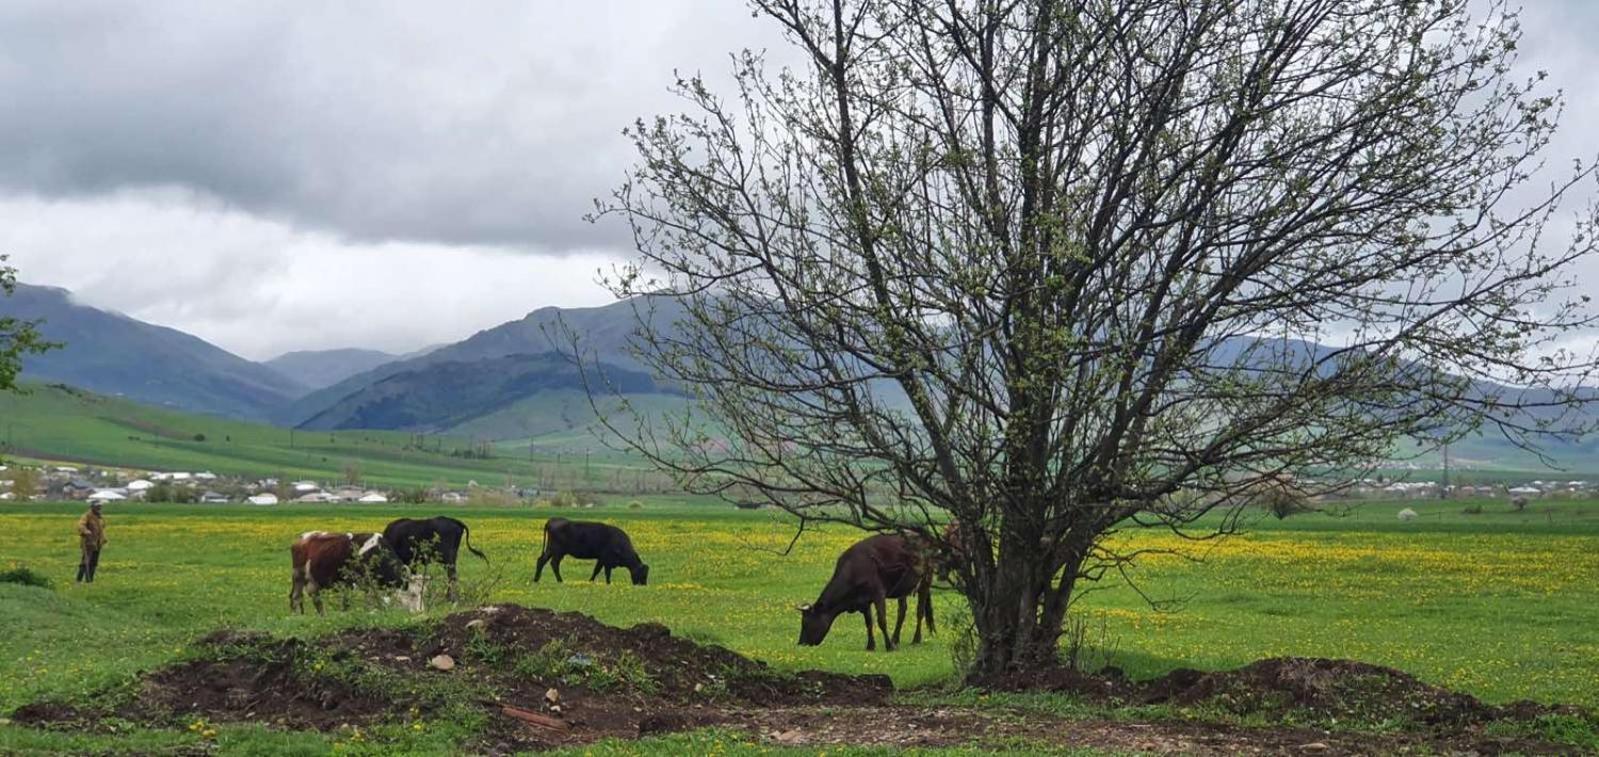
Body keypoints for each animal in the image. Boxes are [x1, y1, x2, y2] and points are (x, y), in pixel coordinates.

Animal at [287, 531, 425, 614]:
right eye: (413, 594)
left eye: (422, 593)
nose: (420, 612)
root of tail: (303, 537)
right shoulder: (350, 582)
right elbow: (348, 603)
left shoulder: (371, 586)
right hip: (298, 575)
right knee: (295, 597)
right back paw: (296, 616)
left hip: (313, 581)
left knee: (316, 599)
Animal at [799, 531, 933, 649]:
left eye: (805, 623)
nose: (800, 643)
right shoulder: (864, 601)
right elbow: (868, 623)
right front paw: (871, 646)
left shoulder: (878, 594)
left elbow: (881, 621)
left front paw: (889, 646)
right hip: (903, 588)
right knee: (902, 611)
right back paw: (895, 639)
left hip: (925, 582)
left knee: (920, 611)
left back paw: (916, 639)